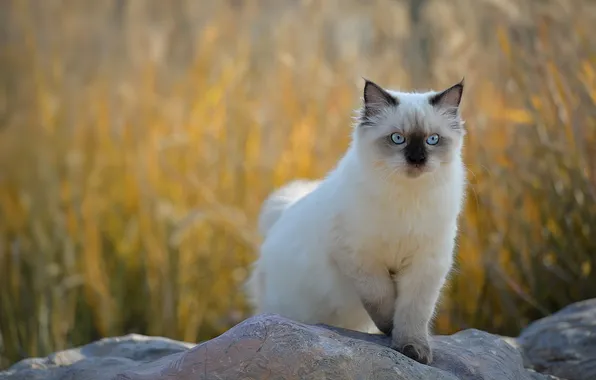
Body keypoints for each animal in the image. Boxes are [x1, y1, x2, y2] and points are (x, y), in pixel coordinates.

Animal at [244, 78, 468, 366]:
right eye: (397, 139)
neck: (407, 198)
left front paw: (413, 350)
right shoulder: (359, 257)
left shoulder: (425, 265)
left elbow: (412, 314)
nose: (417, 159)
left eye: (433, 140)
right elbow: (382, 299)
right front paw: (389, 329)